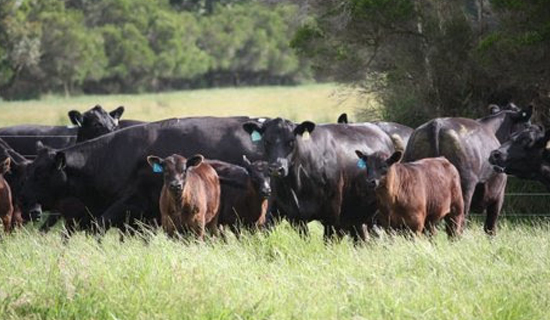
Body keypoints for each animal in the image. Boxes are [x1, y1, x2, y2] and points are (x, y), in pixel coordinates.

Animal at [404, 104, 532, 234]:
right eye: (527, 125)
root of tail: (436, 124)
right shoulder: (498, 194)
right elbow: (490, 227)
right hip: (464, 188)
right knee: (456, 223)